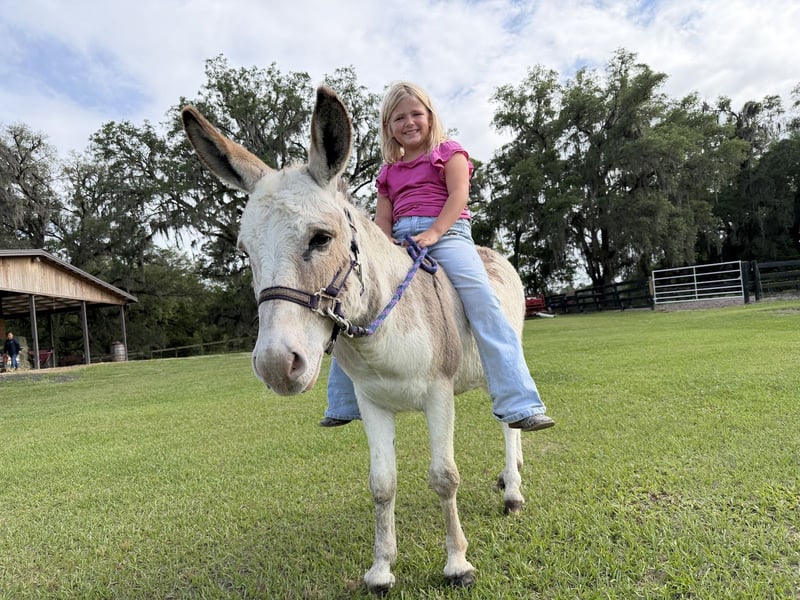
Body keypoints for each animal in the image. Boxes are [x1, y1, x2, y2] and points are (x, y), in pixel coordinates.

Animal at [182, 86, 530, 594]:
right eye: (245, 251)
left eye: (321, 238)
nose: (275, 365)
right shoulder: (372, 402)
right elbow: (381, 484)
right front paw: (381, 570)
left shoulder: (438, 394)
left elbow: (444, 477)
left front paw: (457, 564)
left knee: (510, 421)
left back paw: (513, 490)